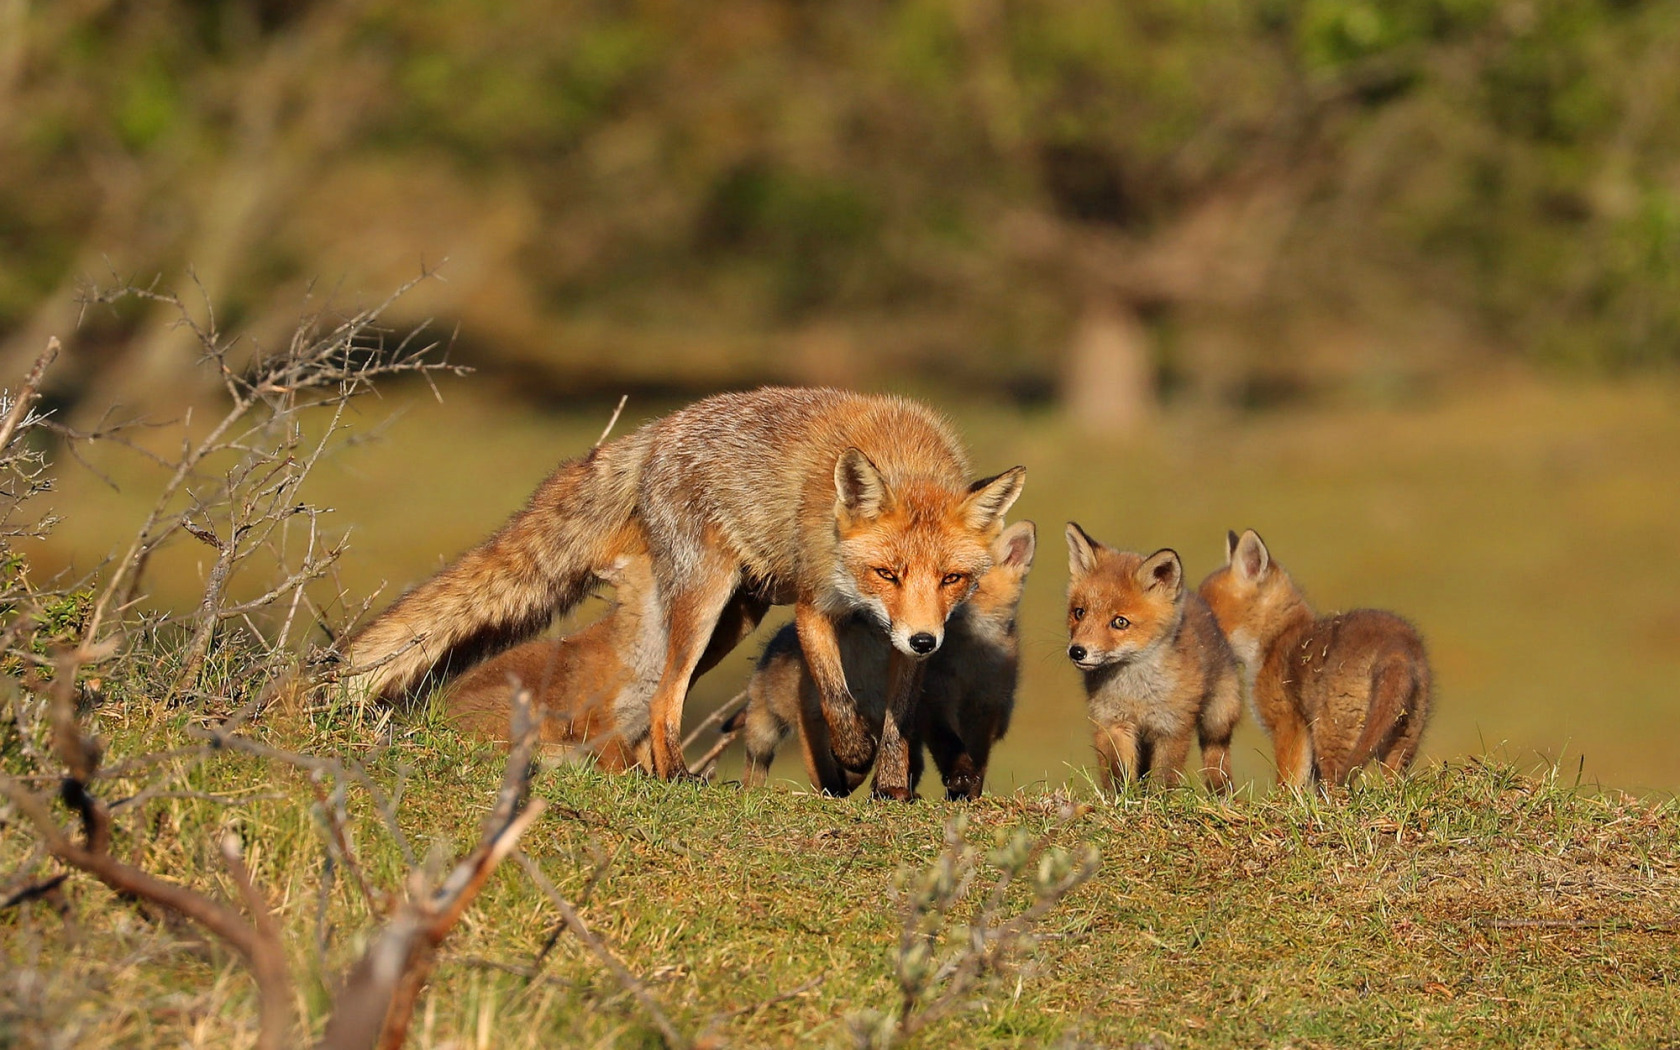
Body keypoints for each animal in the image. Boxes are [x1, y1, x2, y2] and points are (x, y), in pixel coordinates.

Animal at [342, 389, 1021, 799]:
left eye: (952, 579)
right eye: (886, 573)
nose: (925, 639)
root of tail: (656, 431)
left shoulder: (904, 639)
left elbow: (900, 718)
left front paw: (891, 788)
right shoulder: (814, 603)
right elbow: (835, 696)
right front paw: (853, 758)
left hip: (736, 617)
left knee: (660, 700)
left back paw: (656, 770)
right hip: (705, 600)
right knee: (666, 699)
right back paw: (673, 779)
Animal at [1196, 527, 1431, 789]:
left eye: (1209, 616)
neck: (1275, 639)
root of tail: (1396, 648)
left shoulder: (1289, 726)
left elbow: (1287, 783)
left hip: (1332, 737)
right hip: (1400, 743)